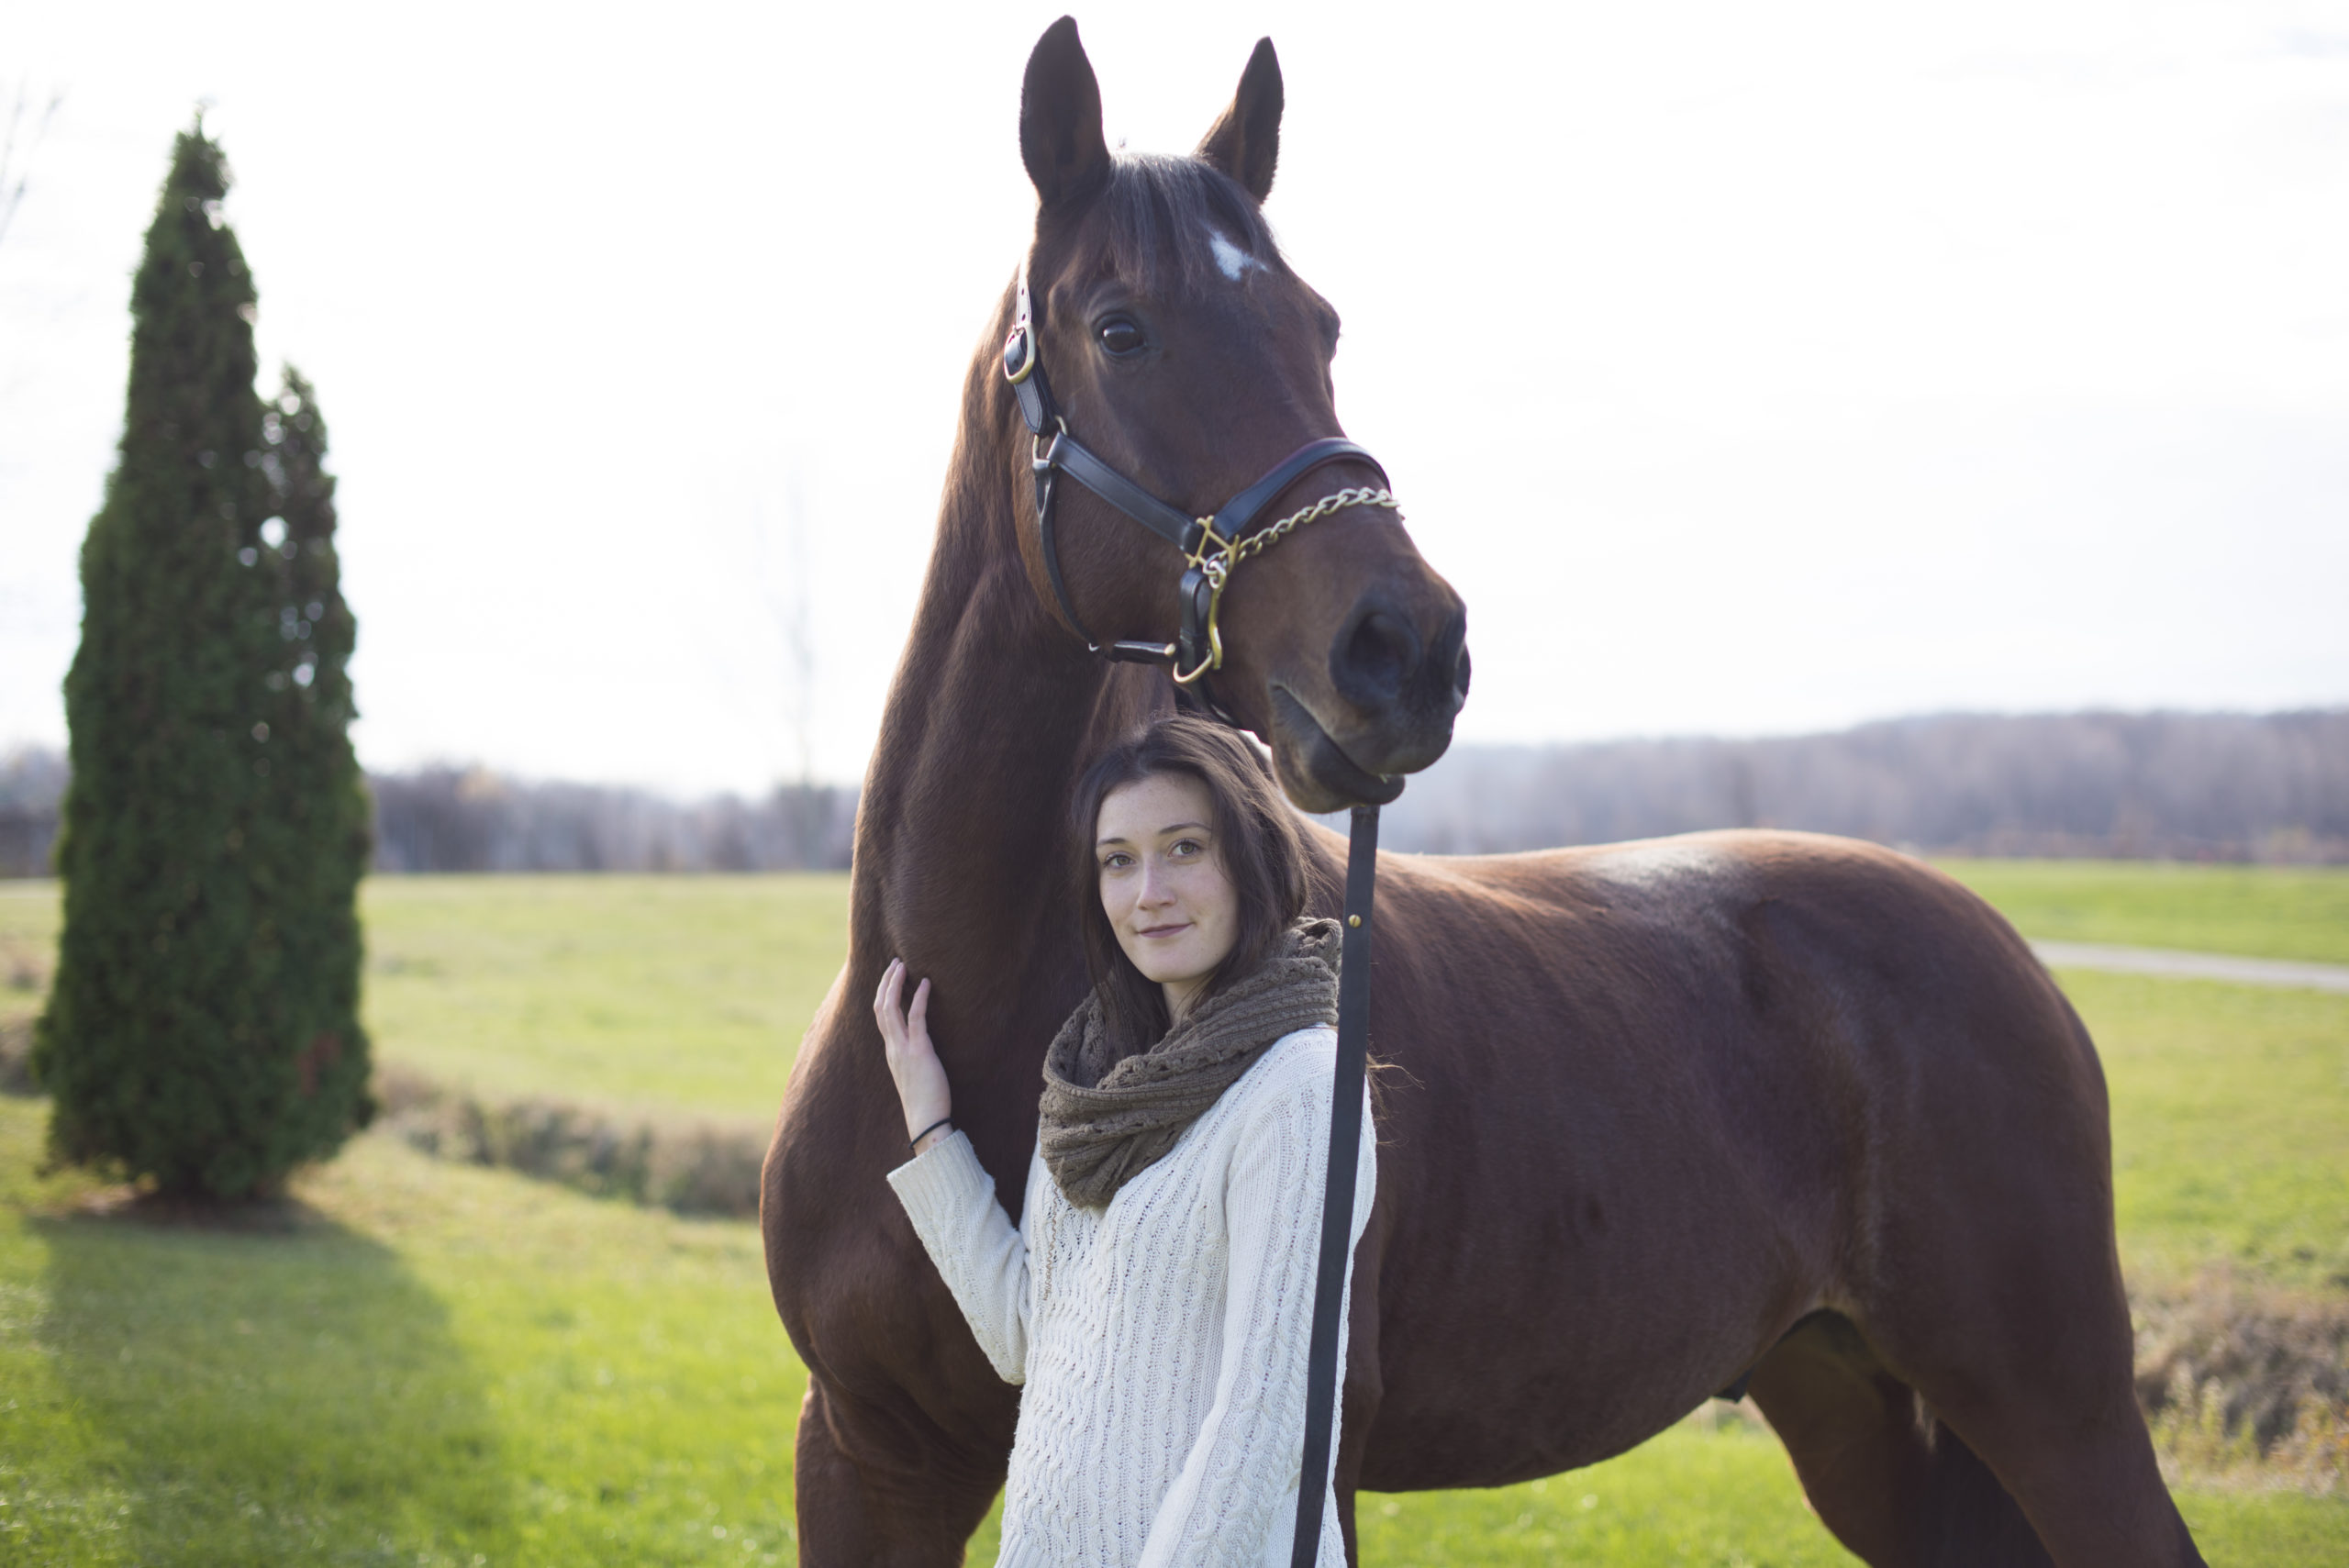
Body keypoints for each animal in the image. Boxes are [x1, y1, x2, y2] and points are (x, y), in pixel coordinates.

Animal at [760, 18, 2203, 1566]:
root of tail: (2003, 948)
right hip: (1862, 1419)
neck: (976, 1009)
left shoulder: (1309, 1462)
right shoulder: (866, 1452)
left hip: (2057, 1412)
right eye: (1121, 328)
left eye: (1322, 326)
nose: (1406, 647)